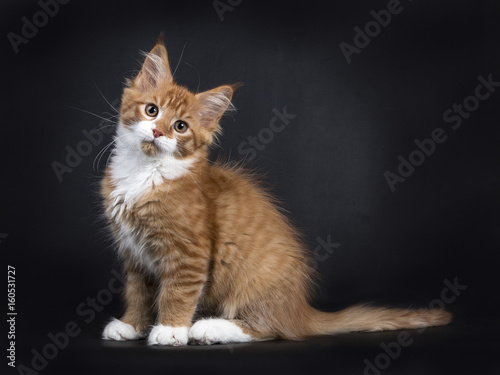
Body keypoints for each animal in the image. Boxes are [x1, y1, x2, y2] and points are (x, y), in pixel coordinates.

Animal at [99, 36, 452, 346]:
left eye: (180, 127)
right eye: (152, 110)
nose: (158, 131)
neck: (143, 173)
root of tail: (300, 310)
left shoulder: (189, 254)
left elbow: (177, 292)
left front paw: (170, 331)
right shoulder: (134, 257)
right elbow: (138, 294)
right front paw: (132, 325)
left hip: (252, 280)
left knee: (271, 329)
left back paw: (209, 328)